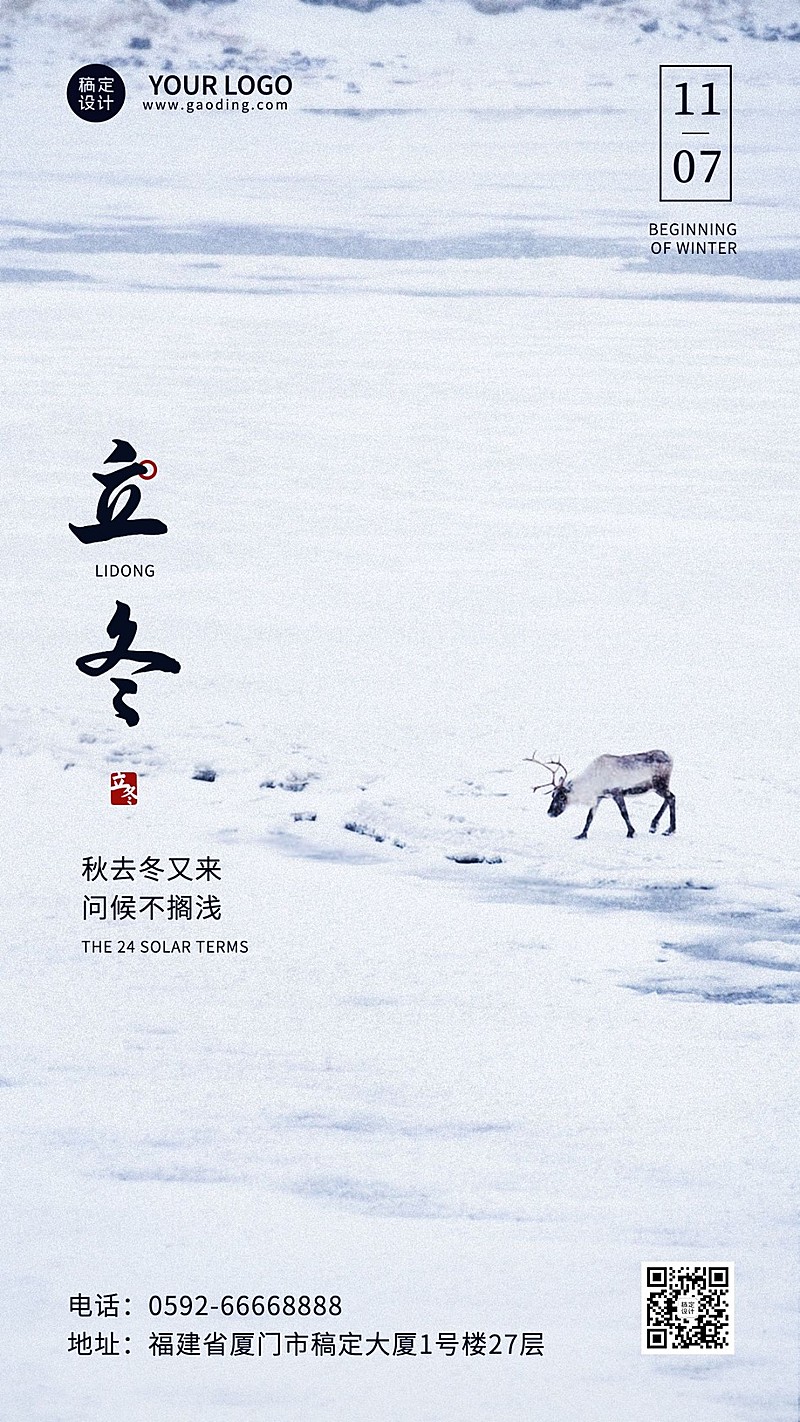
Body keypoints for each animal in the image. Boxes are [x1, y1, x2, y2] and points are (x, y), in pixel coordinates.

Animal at [526, 751, 676, 839]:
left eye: (562, 796)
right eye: (552, 795)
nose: (550, 812)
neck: (592, 782)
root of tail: (670, 756)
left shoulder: (617, 792)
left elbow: (624, 813)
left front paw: (631, 832)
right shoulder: (598, 798)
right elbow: (589, 817)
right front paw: (581, 835)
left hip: (659, 785)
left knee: (672, 798)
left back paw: (669, 830)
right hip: (658, 788)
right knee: (669, 798)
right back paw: (654, 826)